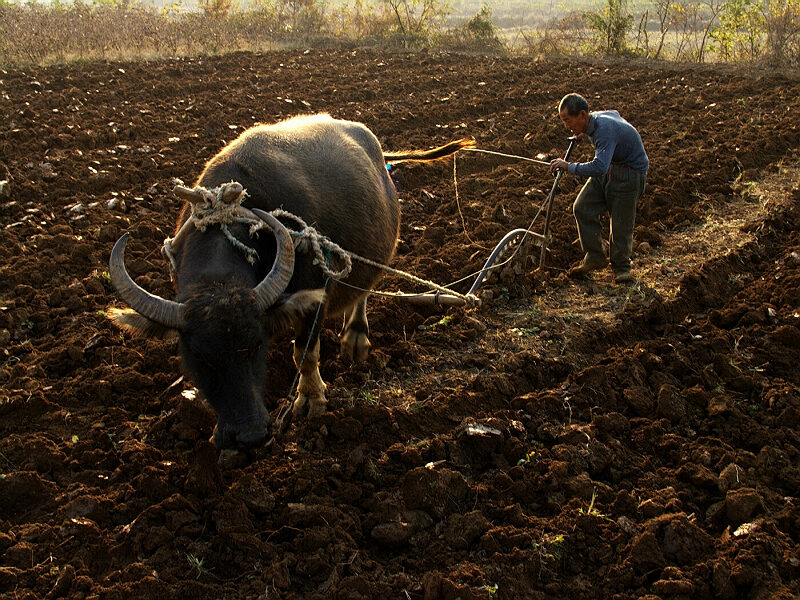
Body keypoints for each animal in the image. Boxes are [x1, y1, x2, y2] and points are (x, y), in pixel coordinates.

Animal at [106, 113, 468, 450]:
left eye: (256, 345)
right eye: (199, 357)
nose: (250, 435)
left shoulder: (315, 294)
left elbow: (304, 353)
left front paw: (310, 400)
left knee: (362, 293)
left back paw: (355, 339)